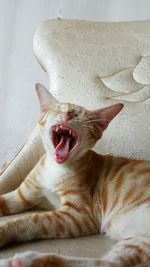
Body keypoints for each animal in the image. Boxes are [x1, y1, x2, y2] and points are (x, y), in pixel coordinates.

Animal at [0, 84, 149, 267]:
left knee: (106, 264)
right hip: (139, 241)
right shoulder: (22, 196)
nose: (68, 114)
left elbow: (31, 220)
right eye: (59, 109)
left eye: (81, 115)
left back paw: (23, 260)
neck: (55, 169)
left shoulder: (79, 215)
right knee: (111, 262)